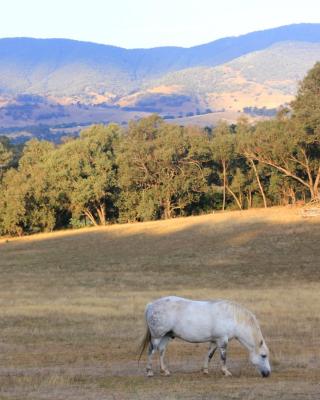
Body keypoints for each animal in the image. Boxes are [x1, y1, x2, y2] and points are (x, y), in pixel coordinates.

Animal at [139, 296, 272, 378]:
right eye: (263, 355)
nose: (268, 373)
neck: (232, 318)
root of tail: (151, 305)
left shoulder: (214, 341)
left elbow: (209, 355)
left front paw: (205, 370)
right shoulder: (222, 341)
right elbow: (223, 357)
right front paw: (226, 372)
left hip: (166, 336)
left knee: (161, 351)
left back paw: (165, 371)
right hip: (157, 337)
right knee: (151, 351)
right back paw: (149, 372)